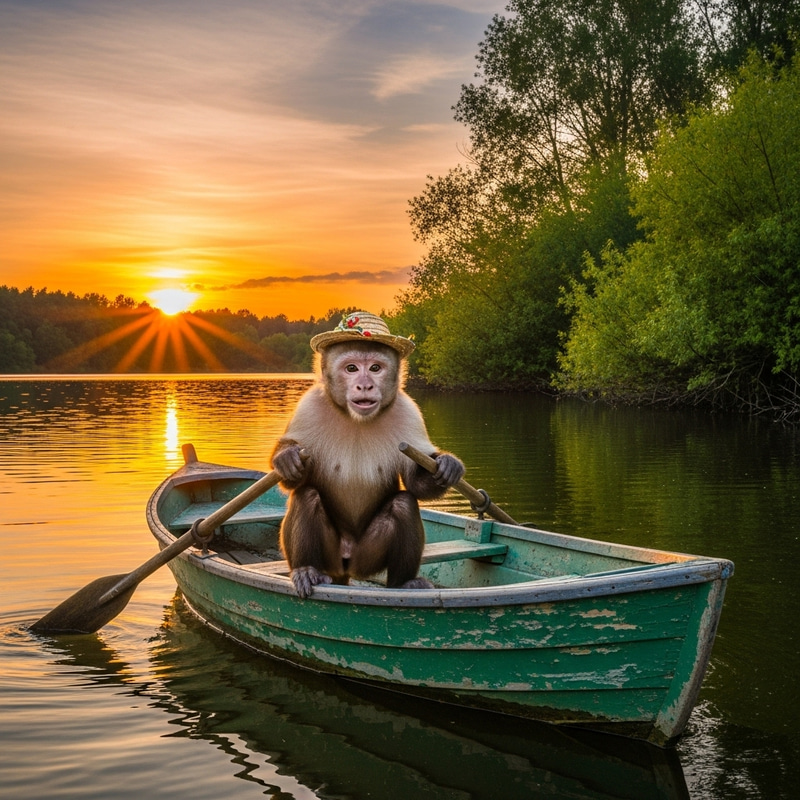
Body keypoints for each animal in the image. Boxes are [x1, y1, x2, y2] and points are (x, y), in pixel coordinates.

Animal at [271, 311, 465, 598]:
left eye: (375, 368)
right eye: (351, 368)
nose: (365, 386)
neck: (356, 418)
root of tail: (346, 568)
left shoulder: (409, 413)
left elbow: (415, 482)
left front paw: (446, 465)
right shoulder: (309, 407)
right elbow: (293, 477)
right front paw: (287, 460)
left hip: (366, 559)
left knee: (404, 504)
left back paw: (403, 583)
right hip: (332, 557)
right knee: (306, 497)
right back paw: (306, 569)